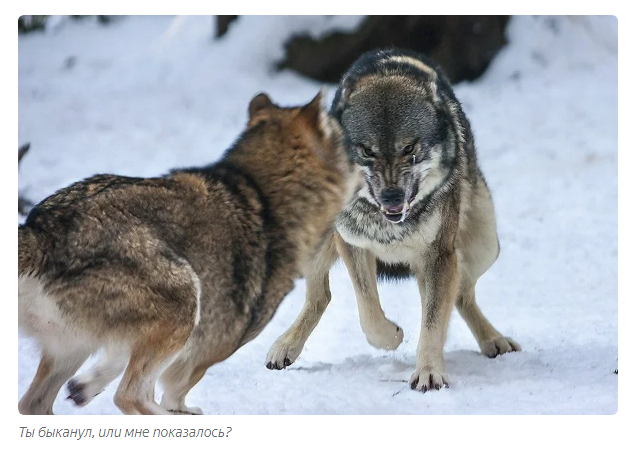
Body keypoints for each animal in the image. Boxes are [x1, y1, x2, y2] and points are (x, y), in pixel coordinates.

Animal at [17, 91, 360, 414]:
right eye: (347, 146)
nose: (367, 165)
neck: (262, 199)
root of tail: (43, 230)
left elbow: (112, 362)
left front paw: (84, 387)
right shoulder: (207, 349)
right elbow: (173, 392)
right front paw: (179, 410)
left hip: (70, 350)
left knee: (32, 403)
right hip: (185, 297)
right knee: (129, 396)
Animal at [264, 51, 520, 394]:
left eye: (409, 148)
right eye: (367, 150)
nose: (392, 196)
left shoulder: (439, 255)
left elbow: (432, 321)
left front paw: (428, 372)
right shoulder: (352, 243)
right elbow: (368, 312)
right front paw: (392, 338)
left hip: (483, 246)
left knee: (460, 295)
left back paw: (494, 341)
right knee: (320, 296)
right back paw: (285, 346)